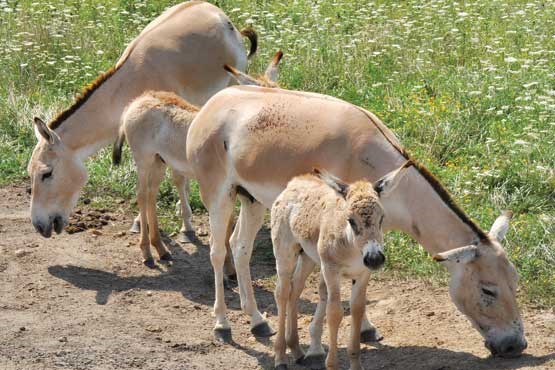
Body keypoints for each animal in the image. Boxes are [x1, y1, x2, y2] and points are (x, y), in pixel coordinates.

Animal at [112, 52, 284, 266]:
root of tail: (139, 100)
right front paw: (227, 265)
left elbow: (228, 224)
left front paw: (229, 266)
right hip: (143, 160)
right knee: (142, 195)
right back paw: (147, 252)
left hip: (158, 161)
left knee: (151, 193)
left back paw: (160, 248)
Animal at [272, 165, 410, 370]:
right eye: (350, 220)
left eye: (382, 218)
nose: (375, 259)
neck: (352, 247)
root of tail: (295, 181)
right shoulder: (331, 270)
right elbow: (334, 313)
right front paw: (332, 364)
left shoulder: (362, 274)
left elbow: (357, 309)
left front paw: (356, 363)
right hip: (285, 252)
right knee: (282, 292)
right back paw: (280, 357)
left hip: (308, 257)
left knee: (295, 289)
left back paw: (296, 349)